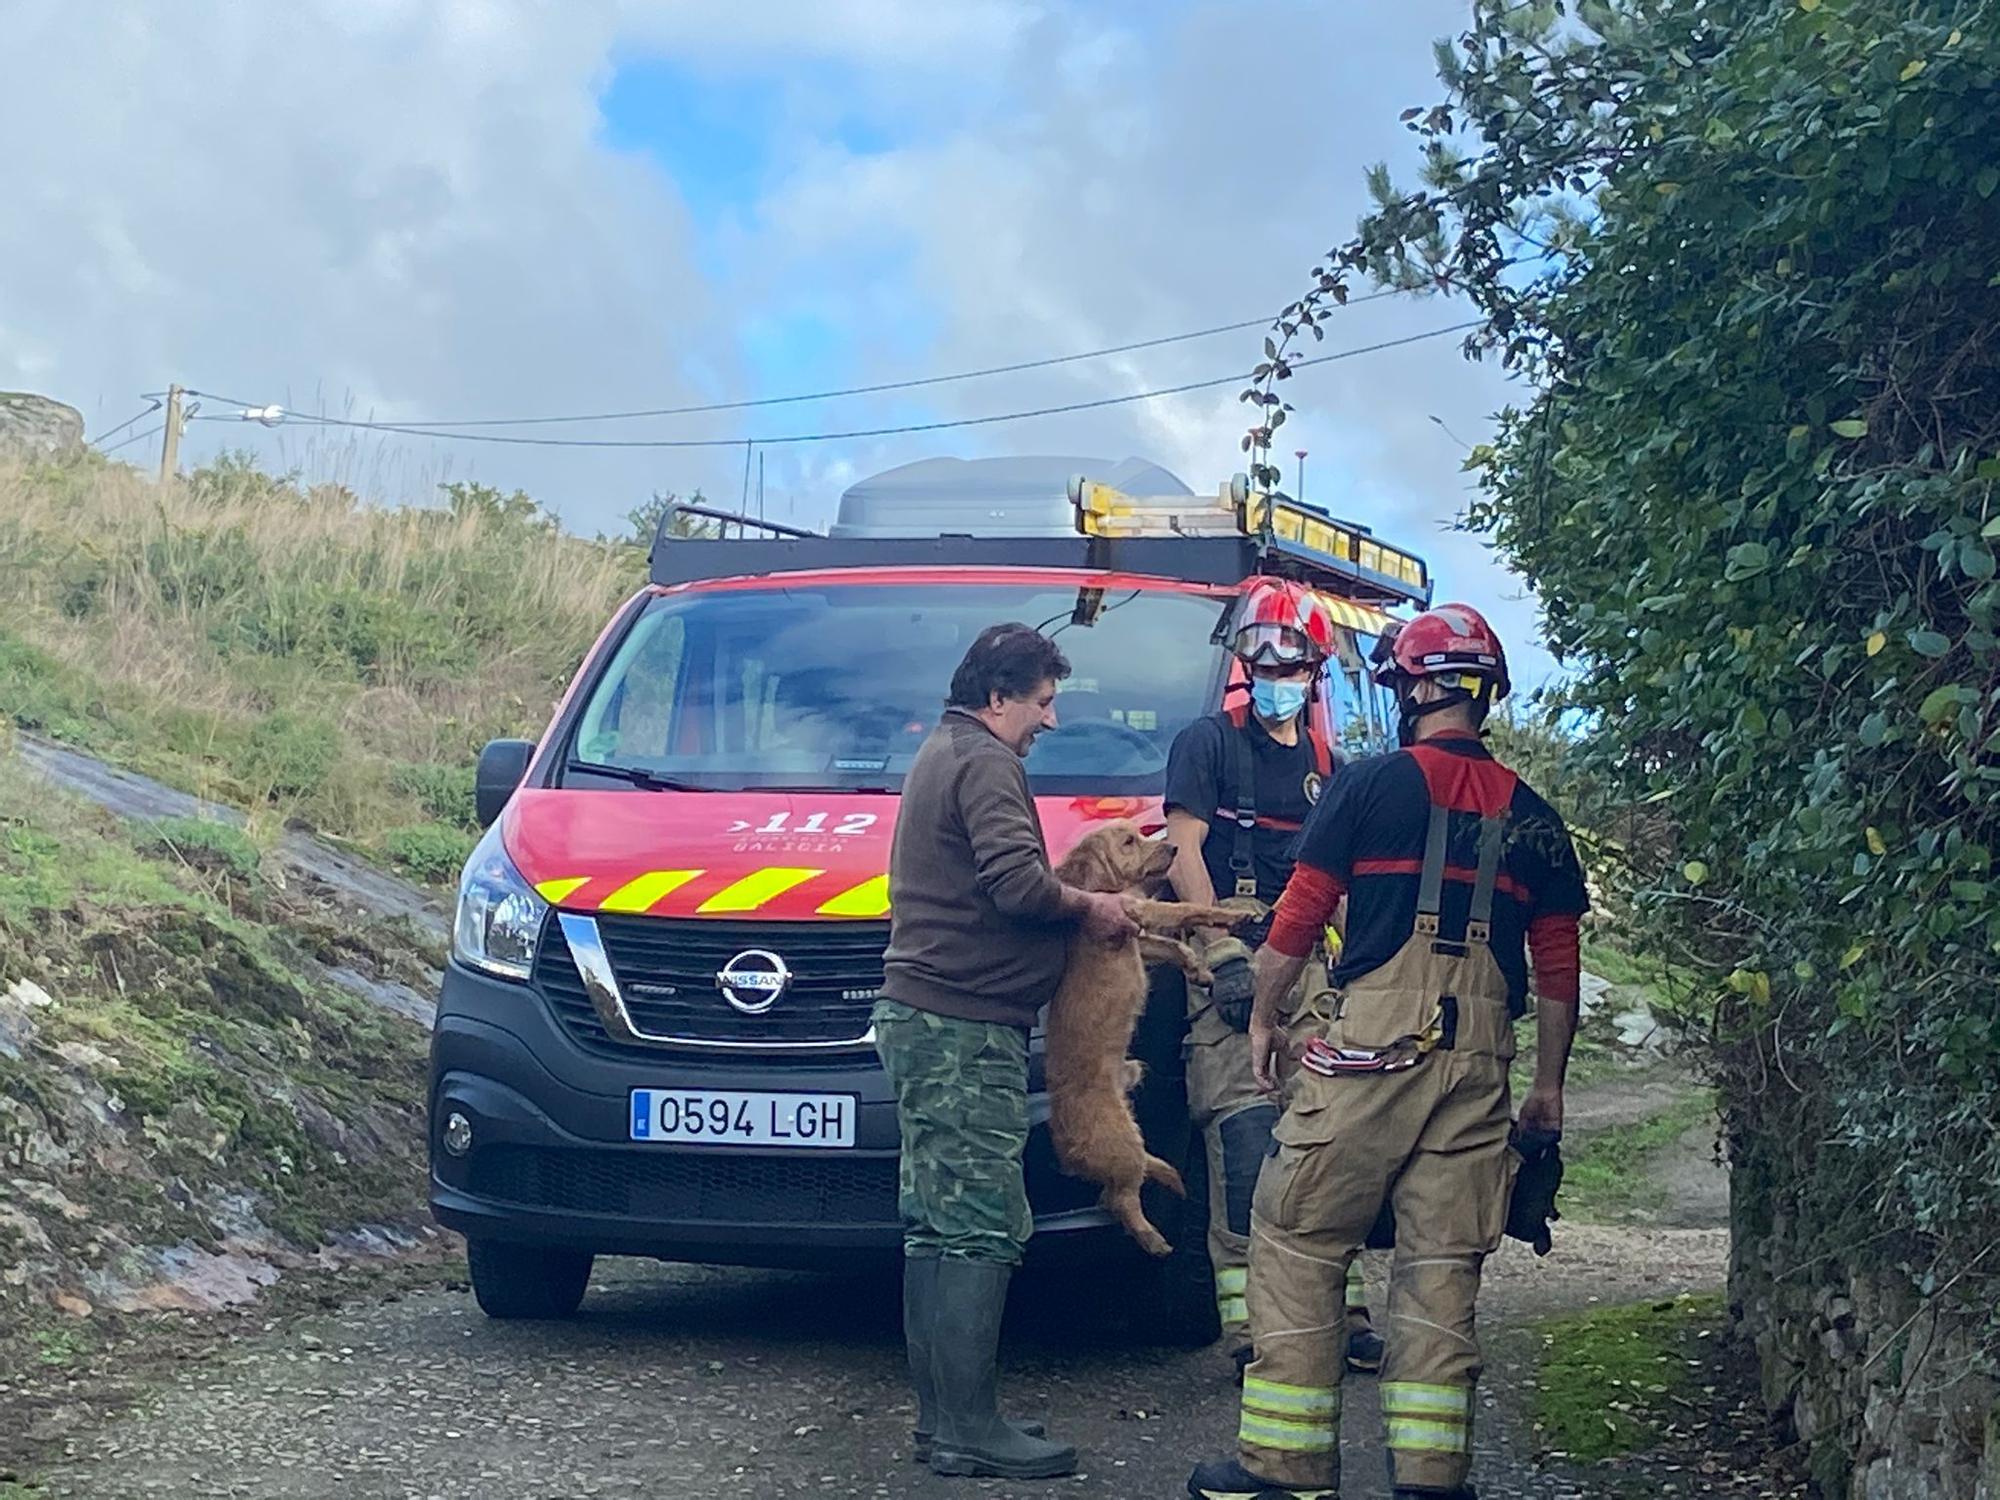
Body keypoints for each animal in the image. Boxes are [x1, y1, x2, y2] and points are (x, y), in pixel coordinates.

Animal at [1048, 824, 1248, 1256]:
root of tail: (1064, 1144)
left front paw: (1200, 970)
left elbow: (1174, 945)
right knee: (1119, 1199)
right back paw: (1155, 1240)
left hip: (1132, 1131)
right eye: (1128, 842)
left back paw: (1172, 1179)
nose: (1172, 847)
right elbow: (1188, 908)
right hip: (1120, 1143)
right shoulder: (1138, 912)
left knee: (1136, 1172)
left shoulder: (1139, 937)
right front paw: (1235, 915)